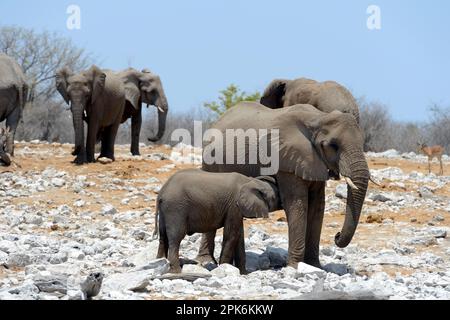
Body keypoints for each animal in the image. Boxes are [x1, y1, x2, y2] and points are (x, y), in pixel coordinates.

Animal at [200, 102, 370, 268]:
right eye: (333, 145)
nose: (337, 235)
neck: (319, 117)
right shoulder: (285, 160)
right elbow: (297, 204)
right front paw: (295, 267)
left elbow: (317, 206)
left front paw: (315, 266)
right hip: (210, 161)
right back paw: (206, 261)